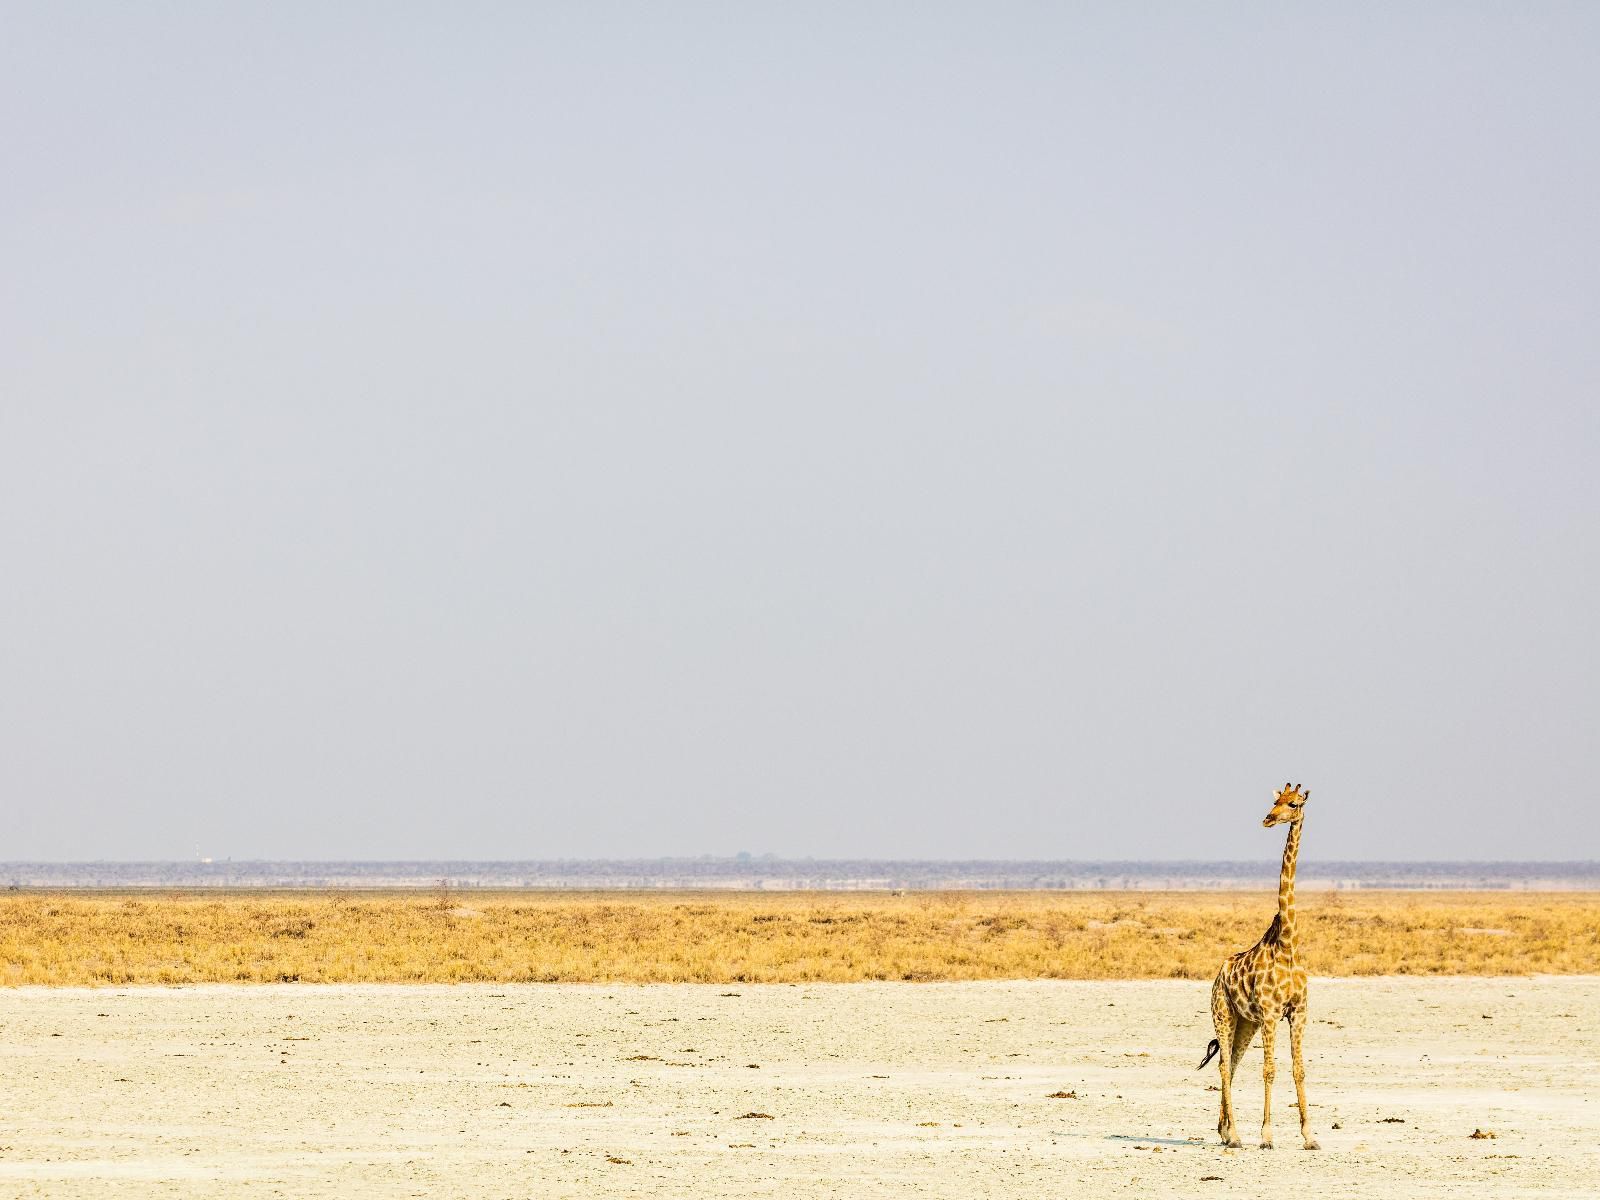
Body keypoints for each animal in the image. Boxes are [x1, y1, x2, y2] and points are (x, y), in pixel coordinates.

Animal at [1196, 784, 1318, 1152]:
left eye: (1293, 804)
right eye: (1275, 801)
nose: (1267, 818)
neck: (1288, 945)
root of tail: (1218, 975)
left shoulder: (1298, 1012)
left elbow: (1298, 1070)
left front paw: (1310, 1136)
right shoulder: (1271, 1012)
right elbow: (1269, 1070)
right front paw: (1266, 1136)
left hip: (1244, 1022)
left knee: (1231, 1064)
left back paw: (1224, 1131)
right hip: (1223, 1013)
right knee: (1224, 1066)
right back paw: (1235, 1136)